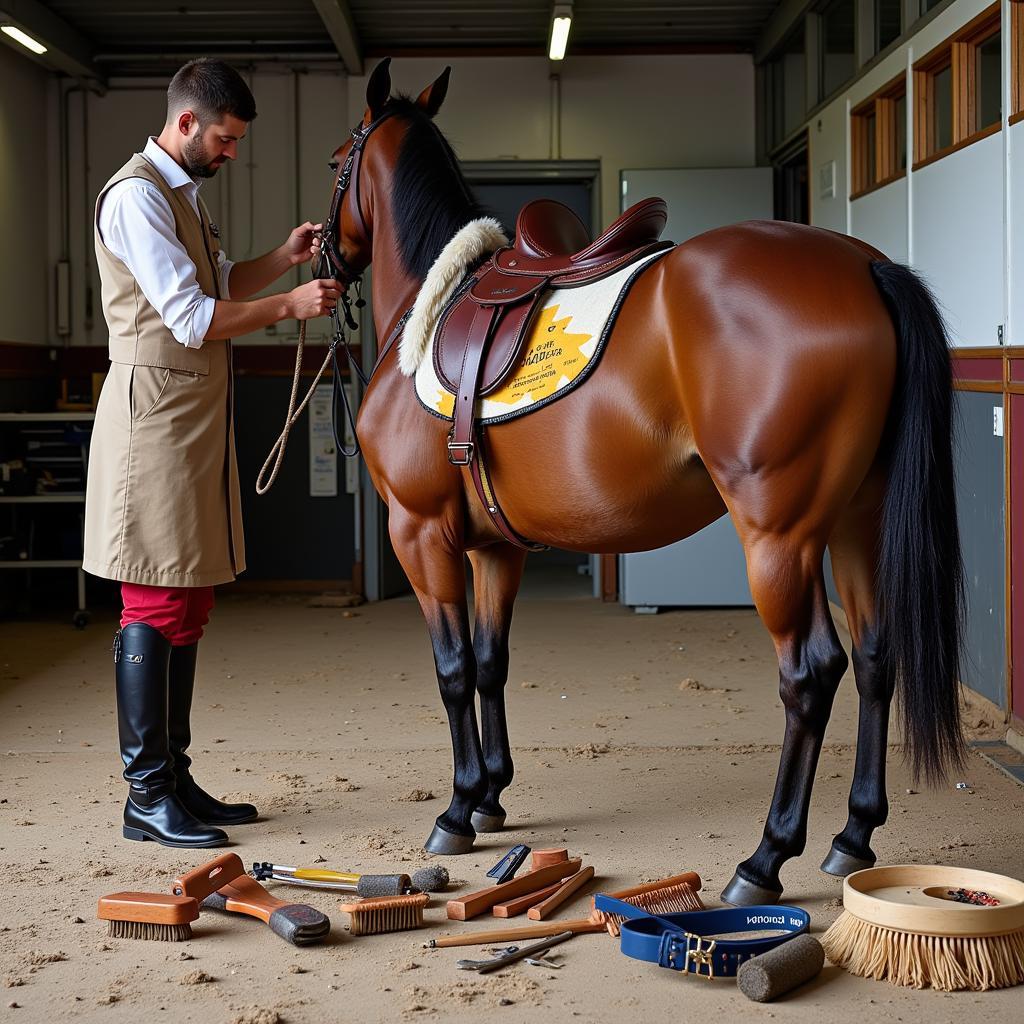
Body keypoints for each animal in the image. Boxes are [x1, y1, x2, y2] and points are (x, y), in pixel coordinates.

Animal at [321, 58, 966, 905]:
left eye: (336, 162)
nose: (321, 256)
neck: (434, 306)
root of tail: (864, 265)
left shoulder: (421, 533)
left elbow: (454, 669)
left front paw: (458, 810)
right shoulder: (497, 548)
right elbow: (492, 662)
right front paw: (492, 796)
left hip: (781, 537)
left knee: (811, 672)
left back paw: (764, 861)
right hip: (859, 519)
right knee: (874, 657)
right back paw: (851, 837)